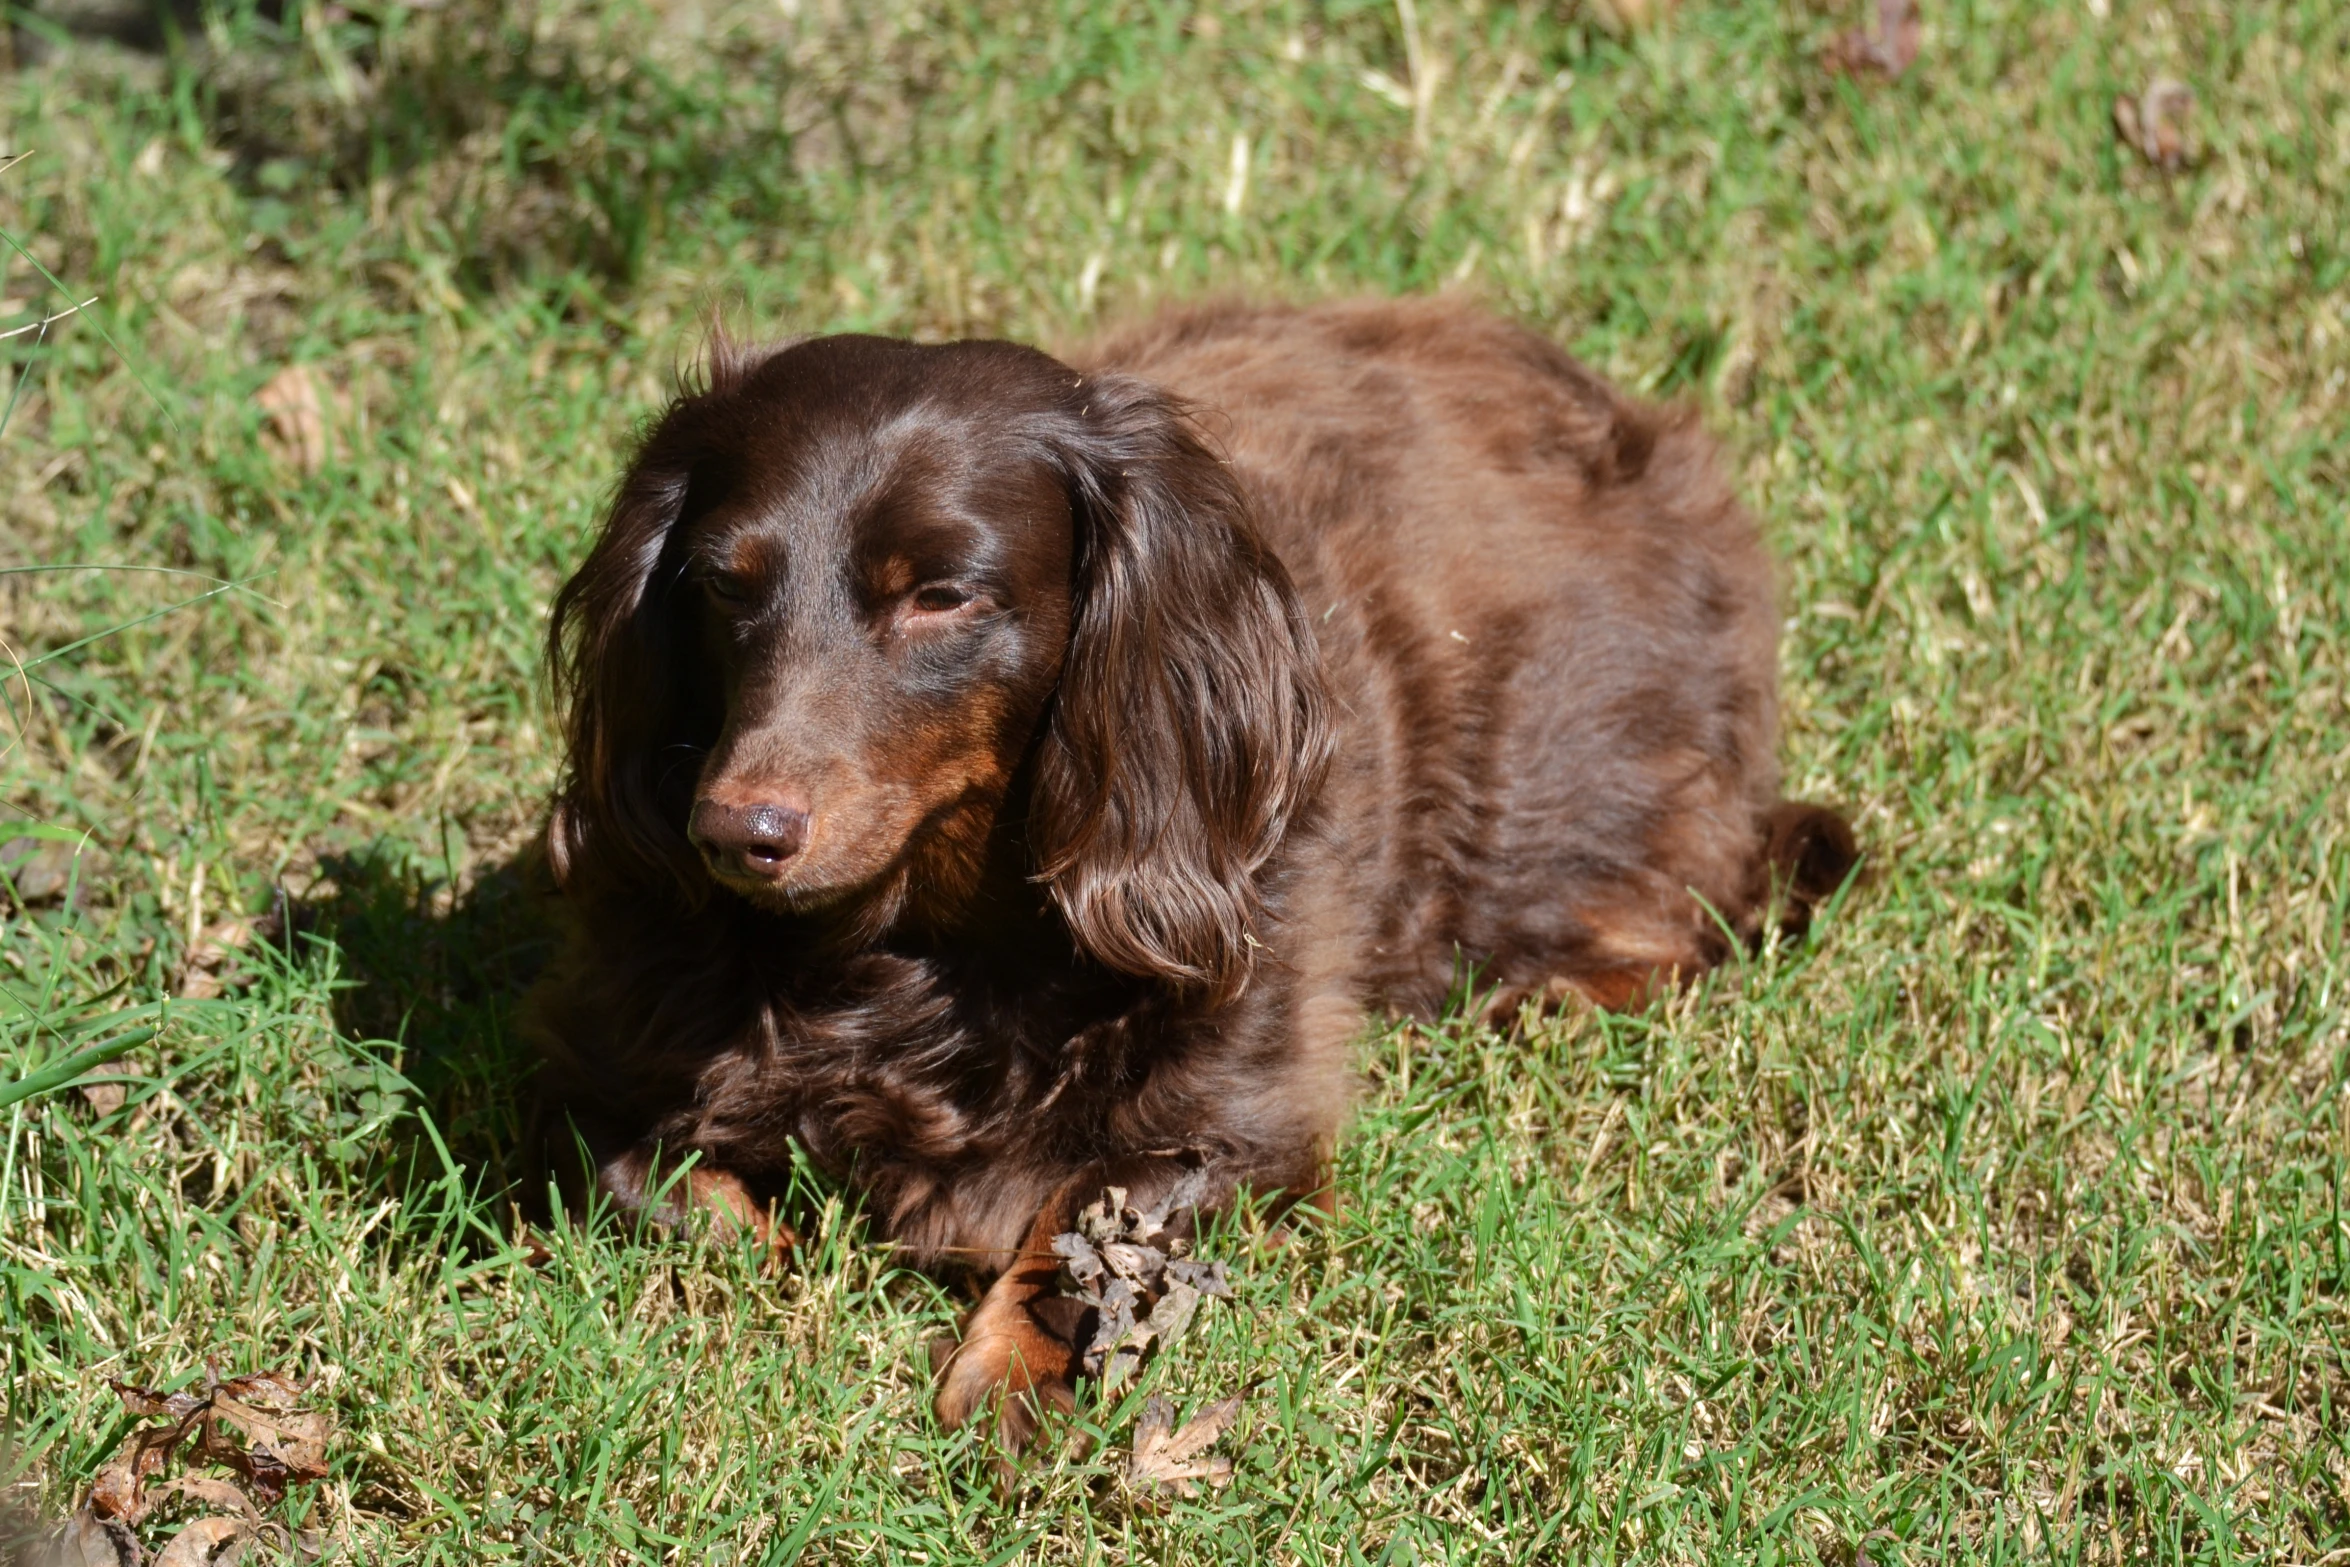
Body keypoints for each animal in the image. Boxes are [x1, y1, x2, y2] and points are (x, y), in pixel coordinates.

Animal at [528, 300, 1851, 1456]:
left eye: (942, 594)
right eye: (720, 582)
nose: (732, 832)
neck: (914, 954)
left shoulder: (1236, 1113)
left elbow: (1091, 1223)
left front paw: (1023, 1372)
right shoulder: (604, 1064)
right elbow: (642, 1180)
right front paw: (778, 1257)